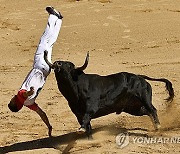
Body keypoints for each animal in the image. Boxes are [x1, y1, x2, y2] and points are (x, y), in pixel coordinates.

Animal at [44, 51, 174, 137]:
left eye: (69, 66)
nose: (57, 63)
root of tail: (140, 77)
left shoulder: (91, 107)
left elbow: (86, 118)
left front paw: (80, 130)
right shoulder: (77, 114)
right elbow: (87, 125)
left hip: (144, 98)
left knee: (152, 109)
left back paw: (158, 127)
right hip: (132, 108)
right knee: (146, 111)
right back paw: (155, 127)